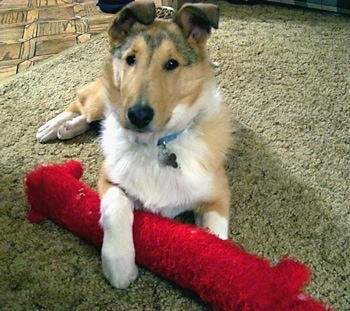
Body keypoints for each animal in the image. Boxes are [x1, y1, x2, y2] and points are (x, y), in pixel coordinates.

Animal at [37, 2, 232, 290]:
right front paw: (119, 265)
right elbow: (116, 206)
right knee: (81, 103)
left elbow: (216, 238)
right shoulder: (109, 178)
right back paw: (52, 127)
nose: (138, 115)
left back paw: (67, 128)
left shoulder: (217, 196)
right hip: (103, 98)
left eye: (172, 63)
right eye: (131, 59)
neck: (156, 143)